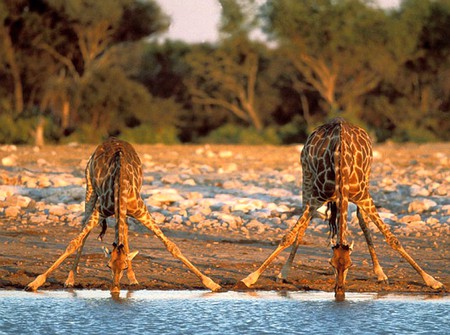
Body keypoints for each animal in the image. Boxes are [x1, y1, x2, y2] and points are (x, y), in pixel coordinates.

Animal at [24, 138, 221, 292]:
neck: (120, 184)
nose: (115, 289)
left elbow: (172, 247)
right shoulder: (101, 210)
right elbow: (73, 243)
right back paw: (70, 279)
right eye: (107, 265)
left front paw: (212, 284)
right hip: (90, 187)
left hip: (123, 210)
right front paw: (35, 283)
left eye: (124, 266)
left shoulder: (141, 211)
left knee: (124, 234)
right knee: (84, 231)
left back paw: (133, 279)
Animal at [239, 119, 442, 302]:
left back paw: (381, 274)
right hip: (307, 177)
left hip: (366, 180)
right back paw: (283, 273)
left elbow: (393, 239)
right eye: (331, 263)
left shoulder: (363, 196)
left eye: (350, 265)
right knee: (304, 223)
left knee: (362, 220)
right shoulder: (315, 198)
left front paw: (432, 281)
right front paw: (250, 278)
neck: (342, 165)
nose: (339, 292)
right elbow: (287, 236)